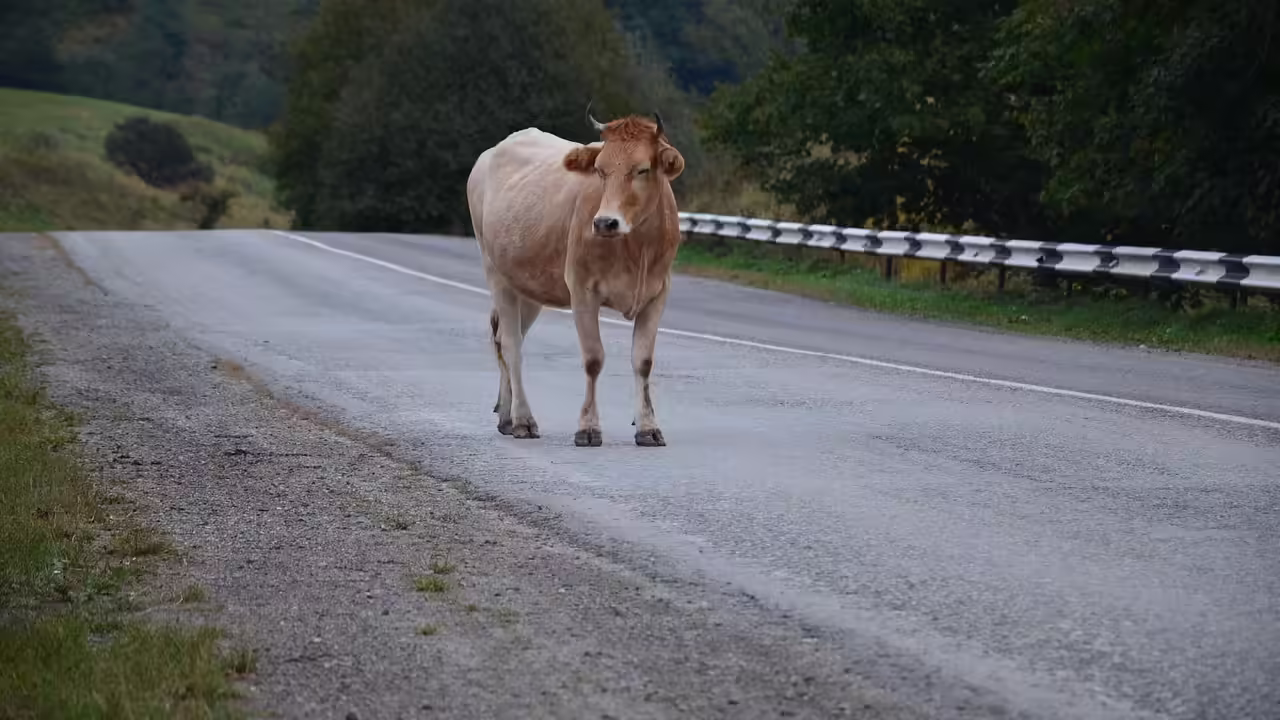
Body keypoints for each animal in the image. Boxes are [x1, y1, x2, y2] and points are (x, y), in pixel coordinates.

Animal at [466, 108, 686, 447]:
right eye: (599, 170)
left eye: (643, 170)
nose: (605, 222)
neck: (636, 248)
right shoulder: (582, 290)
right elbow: (594, 359)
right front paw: (588, 428)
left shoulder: (657, 293)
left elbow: (643, 361)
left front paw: (648, 427)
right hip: (496, 273)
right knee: (512, 345)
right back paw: (522, 420)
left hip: (528, 285)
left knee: (505, 337)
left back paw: (506, 415)